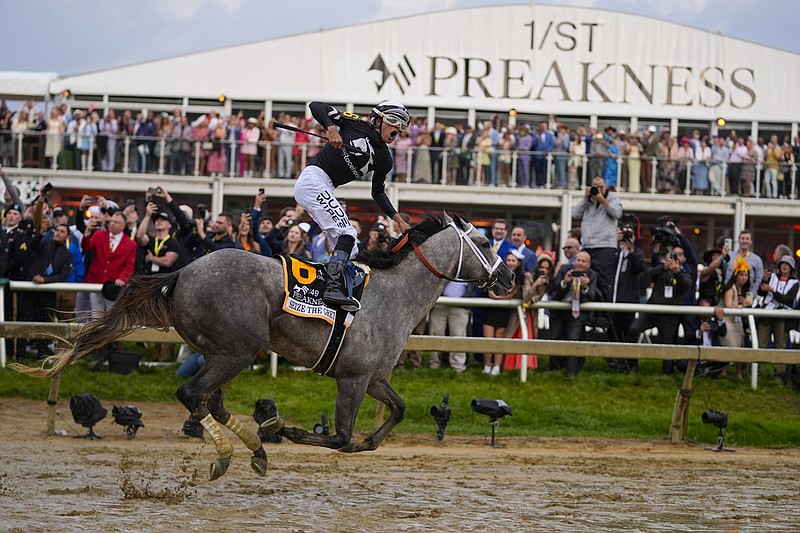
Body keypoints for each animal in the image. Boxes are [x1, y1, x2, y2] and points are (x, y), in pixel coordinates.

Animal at [14, 212, 512, 478]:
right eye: (485, 241)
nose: (507, 277)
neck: (394, 295)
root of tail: (183, 272)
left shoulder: (373, 378)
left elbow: (394, 414)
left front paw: (359, 441)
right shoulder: (352, 378)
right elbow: (340, 435)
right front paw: (285, 428)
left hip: (220, 351)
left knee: (209, 402)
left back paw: (254, 449)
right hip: (237, 349)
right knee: (192, 395)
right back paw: (232, 452)